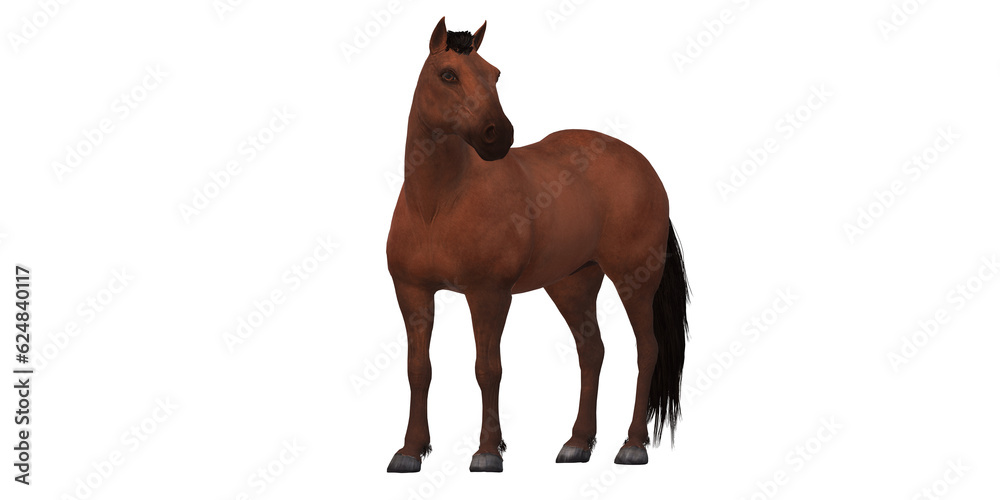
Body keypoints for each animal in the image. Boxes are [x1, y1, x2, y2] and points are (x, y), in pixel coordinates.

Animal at [386, 17, 689, 473]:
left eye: (495, 74)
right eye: (448, 75)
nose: (499, 136)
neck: (437, 205)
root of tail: (643, 167)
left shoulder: (489, 294)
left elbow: (487, 369)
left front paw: (487, 452)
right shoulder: (413, 292)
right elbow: (418, 369)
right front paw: (409, 451)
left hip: (635, 279)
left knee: (647, 350)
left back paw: (632, 446)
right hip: (572, 282)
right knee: (591, 351)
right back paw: (578, 443)